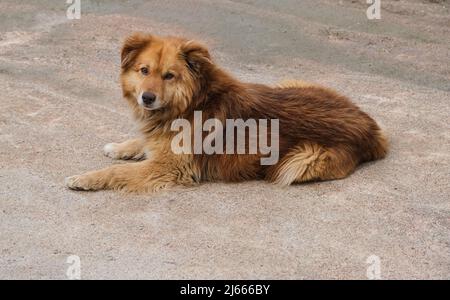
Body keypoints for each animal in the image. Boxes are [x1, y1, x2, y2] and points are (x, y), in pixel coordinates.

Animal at [64, 32, 386, 192]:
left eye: (169, 76)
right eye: (144, 71)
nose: (147, 98)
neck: (191, 102)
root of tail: (373, 129)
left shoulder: (170, 167)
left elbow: (118, 172)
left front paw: (85, 179)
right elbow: (142, 142)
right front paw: (120, 146)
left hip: (299, 160)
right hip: (290, 83)